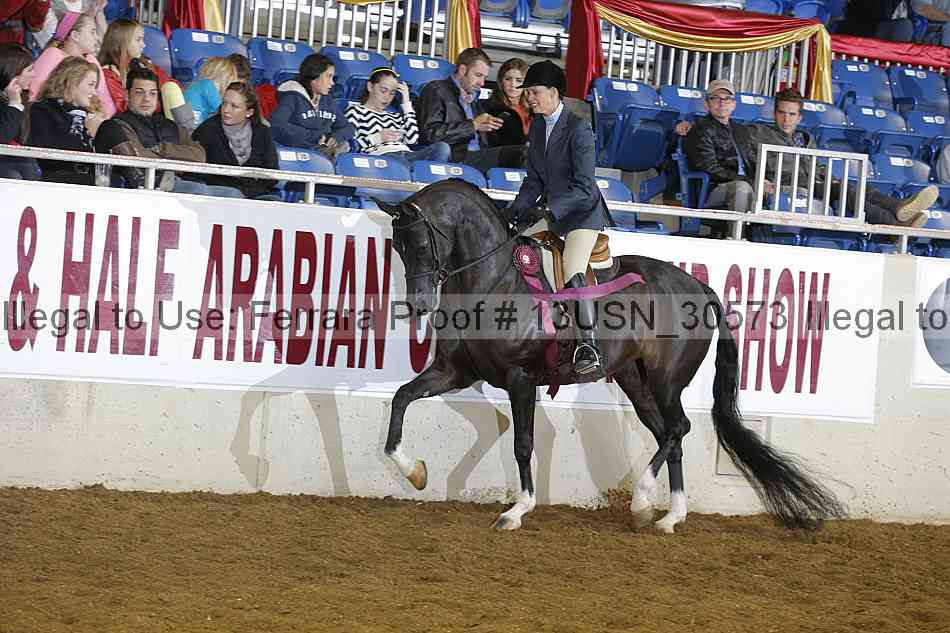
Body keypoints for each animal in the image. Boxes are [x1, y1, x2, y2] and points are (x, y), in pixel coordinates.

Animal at [375, 179, 845, 533]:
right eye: (397, 247)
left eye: (422, 244)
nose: (417, 305)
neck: (494, 283)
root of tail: (700, 287)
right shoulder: (453, 371)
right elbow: (401, 399)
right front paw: (415, 472)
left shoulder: (520, 379)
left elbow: (523, 443)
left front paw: (517, 510)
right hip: (635, 381)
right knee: (669, 434)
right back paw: (669, 516)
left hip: (666, 380)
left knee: (678, 427)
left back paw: (641, 501)